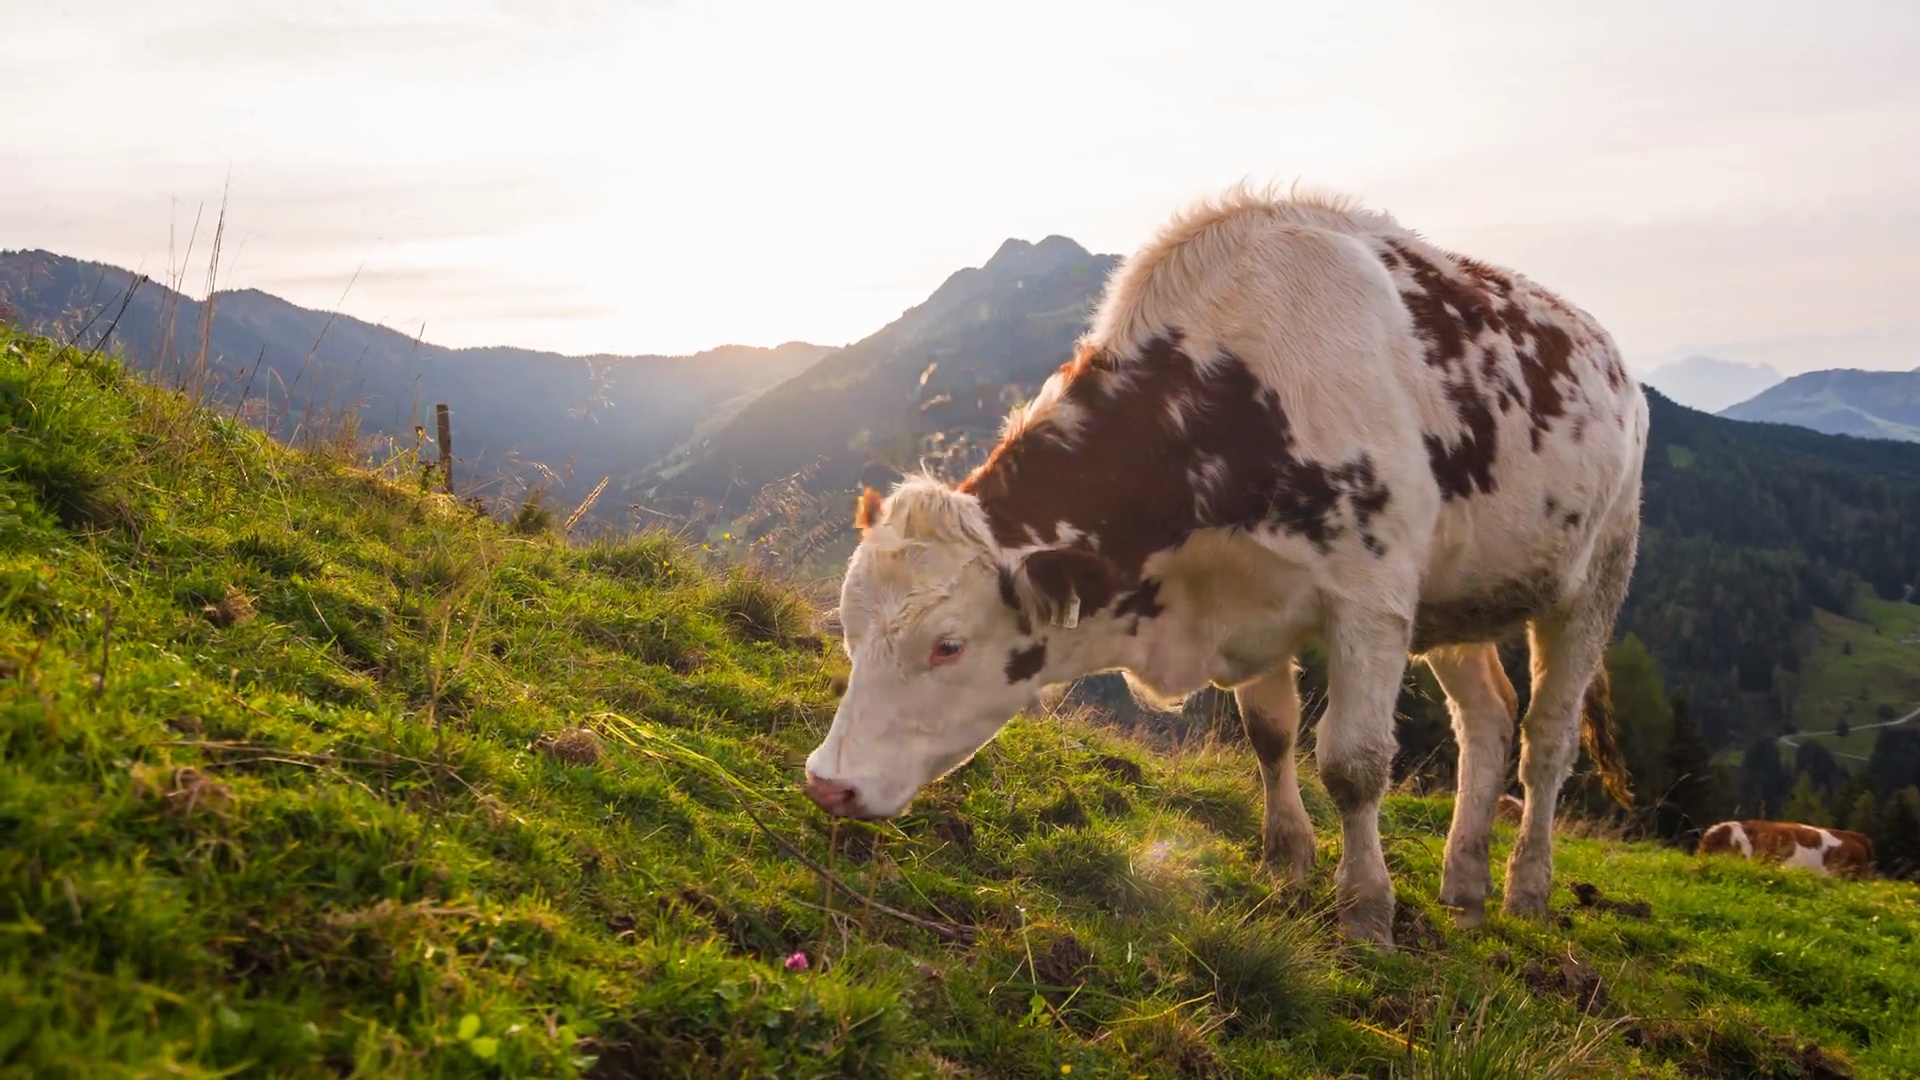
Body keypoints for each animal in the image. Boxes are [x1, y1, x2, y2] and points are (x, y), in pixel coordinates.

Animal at [802, 182, 1643, 941]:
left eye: (947, 645)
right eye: (849, 631)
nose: (828, 783)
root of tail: (1611, 357)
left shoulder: (1371, 599)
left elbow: (1354, 762)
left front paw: (1365, 910)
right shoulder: (1250, 599)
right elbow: (1270, 733)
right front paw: (1287, 861)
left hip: (1598, 577)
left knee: (1547, 740)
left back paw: (1525, 889)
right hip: (1455, 599)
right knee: (1488, 720)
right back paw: (1464, 887)